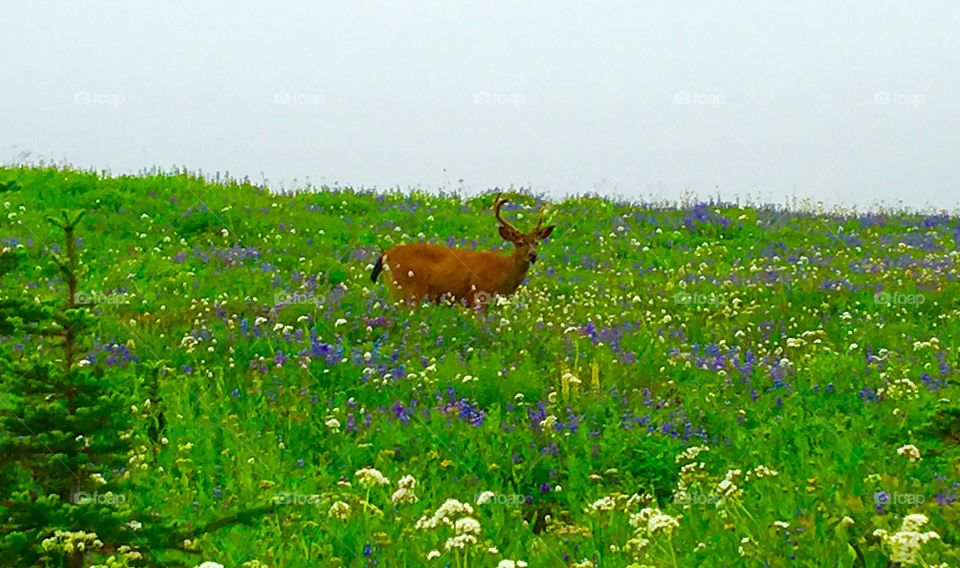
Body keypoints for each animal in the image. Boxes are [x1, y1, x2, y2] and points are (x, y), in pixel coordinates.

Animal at [372, 194, 560, 310]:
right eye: (520, 243)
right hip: (406, 289)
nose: (533, 255)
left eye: (536, 242)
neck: (503, 272)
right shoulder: (477, 296)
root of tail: (385, 255)